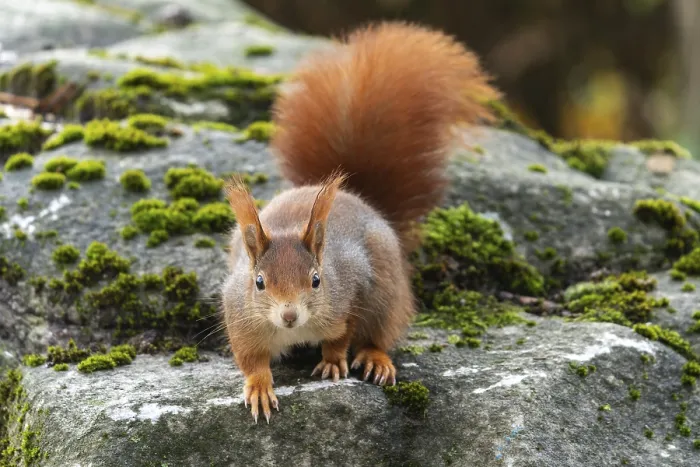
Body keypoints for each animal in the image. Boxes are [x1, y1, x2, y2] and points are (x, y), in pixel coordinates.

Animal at [221, 20, 501, 423]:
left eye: (316, 280)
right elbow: (251, 360)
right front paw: (259, 387)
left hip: (386, 293)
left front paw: (334, 361)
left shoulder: (349, 292)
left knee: (379, 333)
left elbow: (341, 336)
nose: (289, 315)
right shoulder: (241, 318)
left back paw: (374, 359)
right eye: (259, 283)